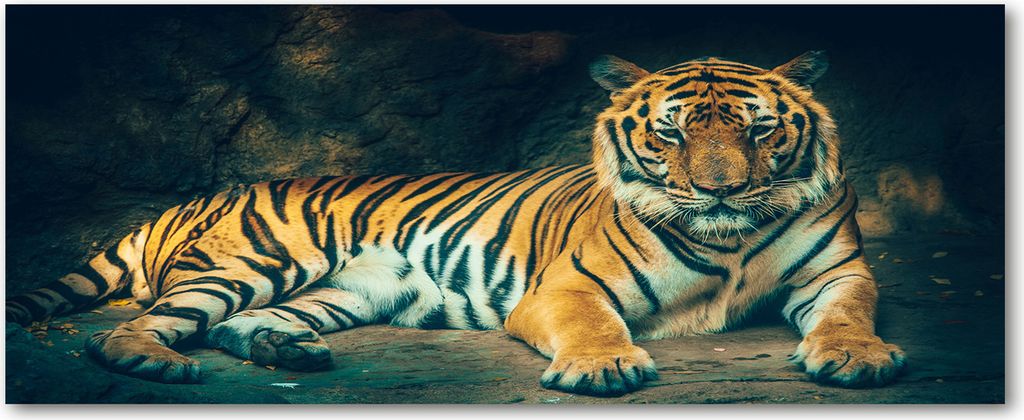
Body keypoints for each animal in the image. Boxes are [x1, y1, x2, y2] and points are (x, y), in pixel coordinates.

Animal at [6, 51, 906, 397]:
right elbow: (596, 324)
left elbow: (850, 313)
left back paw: (287, 352)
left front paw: (856, 357)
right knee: (132, 329)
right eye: (671, 134)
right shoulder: (567, 287)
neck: (731, 237)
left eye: (761, 131)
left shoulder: (839, 271)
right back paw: (158, 365)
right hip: (254, 263)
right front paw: (605, 367)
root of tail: (195, 197)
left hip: (345, 292)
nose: (722, 189)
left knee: (243, 326)